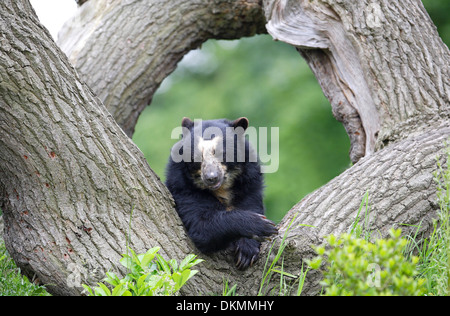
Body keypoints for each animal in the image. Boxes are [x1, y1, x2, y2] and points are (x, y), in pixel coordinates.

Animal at [166, 117, 278, 270]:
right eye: (197, 157)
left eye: (221, 153)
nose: (211, 177)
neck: (222, 188)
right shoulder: (183, 187)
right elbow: (202, 224)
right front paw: (262, 226)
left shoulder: (249, 184)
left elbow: (251, 205)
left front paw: (246, 253)